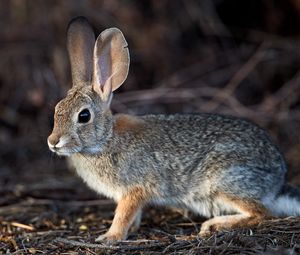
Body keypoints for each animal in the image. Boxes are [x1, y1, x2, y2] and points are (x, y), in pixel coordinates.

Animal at [48, 16, 300, 242]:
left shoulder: (134, 189)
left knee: (261, 213)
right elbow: (133, 216)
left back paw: (214, 225)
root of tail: (277, 180)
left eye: (83, 116)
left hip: (226, 181)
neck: (106, 140)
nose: (53, 141)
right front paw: (131, 230)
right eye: (57, 109)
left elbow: (123, 214)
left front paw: (110, 237)